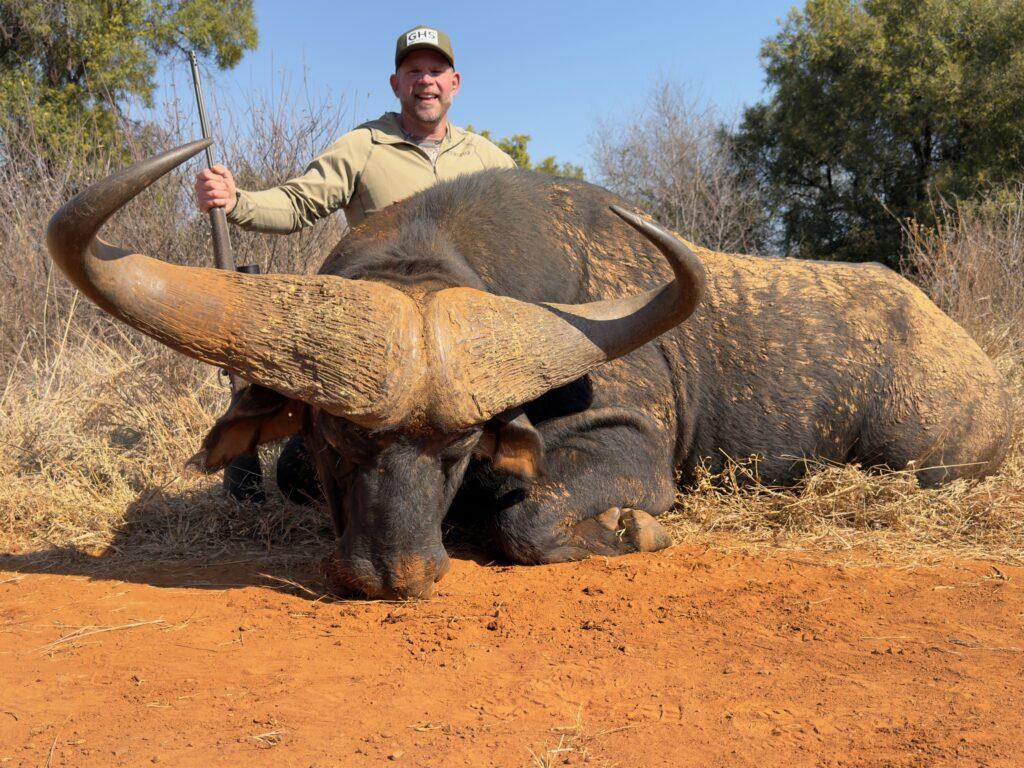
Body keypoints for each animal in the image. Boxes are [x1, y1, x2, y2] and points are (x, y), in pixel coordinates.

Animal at [47, 140, 1013, 599]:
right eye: (332, 439)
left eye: (459, 447)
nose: (394, 575)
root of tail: (980, 371)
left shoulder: (628, 448)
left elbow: (532, 523)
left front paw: (634, 531)